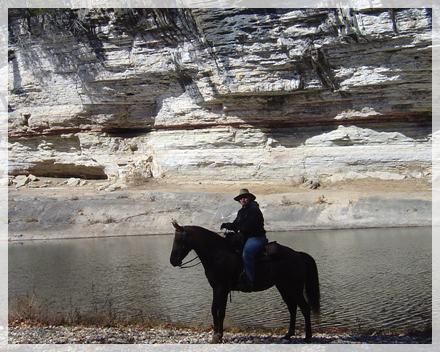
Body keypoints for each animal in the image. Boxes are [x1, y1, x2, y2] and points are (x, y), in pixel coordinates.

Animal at [169, 221, 320, 342]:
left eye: (179, 240)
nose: (173, 261)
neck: (218, 254)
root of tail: (299, 255)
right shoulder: (221, 289)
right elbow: (219, 311)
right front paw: (218, 335)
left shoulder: (220, 288)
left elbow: (216, 310)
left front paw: (217, 336)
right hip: (284, 288)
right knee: (292, 308)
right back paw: (288, 335)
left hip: (295, 289)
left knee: (304, 308)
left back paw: (308, 337)